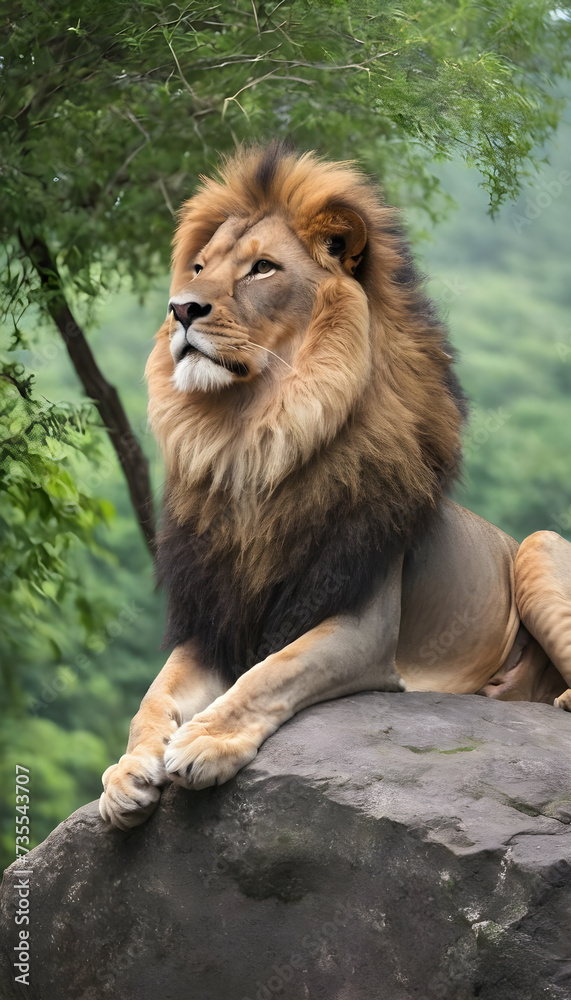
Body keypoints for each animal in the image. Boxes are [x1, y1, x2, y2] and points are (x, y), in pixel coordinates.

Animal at [100, 142, 571, 830]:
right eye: (199, 267)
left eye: (262, 269)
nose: (181, 309)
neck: (250, 443)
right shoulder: (216, 619)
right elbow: (153, 697)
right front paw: (126, 772)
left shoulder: (361, 625)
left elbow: (273, 672)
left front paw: (208, 741)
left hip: (538, 544)